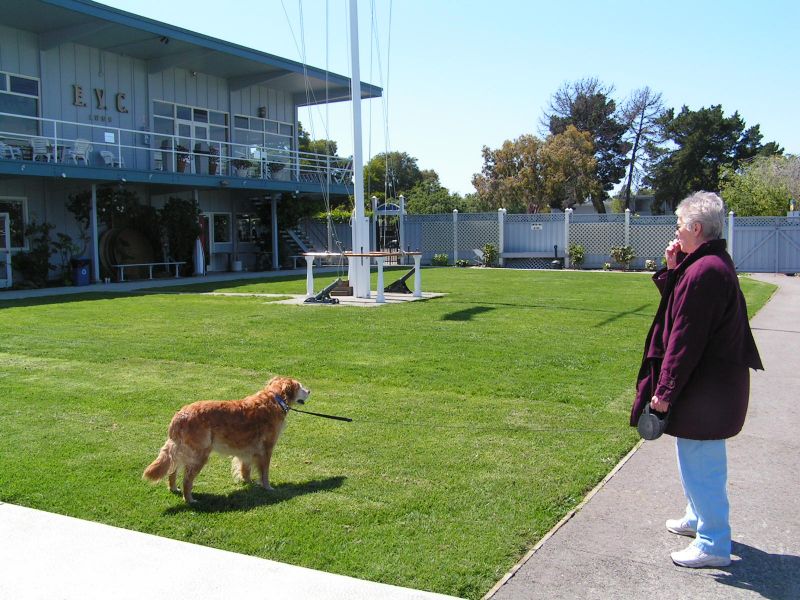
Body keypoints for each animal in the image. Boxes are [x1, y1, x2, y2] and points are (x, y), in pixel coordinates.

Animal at [141, 376, 310, 502]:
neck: (275, 398)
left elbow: (246, 469)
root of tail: (180, 415)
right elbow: (265, 472)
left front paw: (248, 482)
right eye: (300, 386)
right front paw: (267, 487)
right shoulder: (267, 448)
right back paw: (189, 499)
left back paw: (173, 488)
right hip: (199, 455)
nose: (309, 390)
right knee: (187, 479)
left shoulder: (247, 449)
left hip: (182, 450)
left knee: (173, 470)